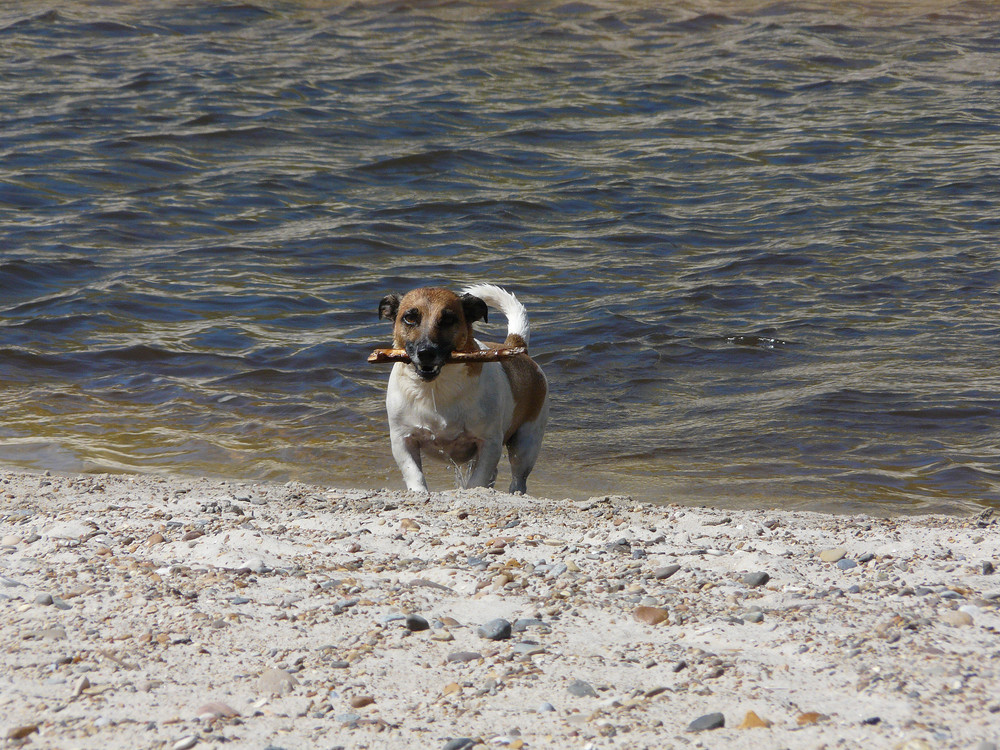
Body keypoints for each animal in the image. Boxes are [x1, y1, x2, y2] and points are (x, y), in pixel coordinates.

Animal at [376, 284, 548, 496]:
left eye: (448, 319)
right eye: (409, 318)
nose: (426, 352)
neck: (436, 389)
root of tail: (516, 346)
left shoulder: (489, 443)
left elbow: (478, 479)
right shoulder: (402, 440)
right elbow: (414, 473)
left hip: (525, 443)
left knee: (518, 477)